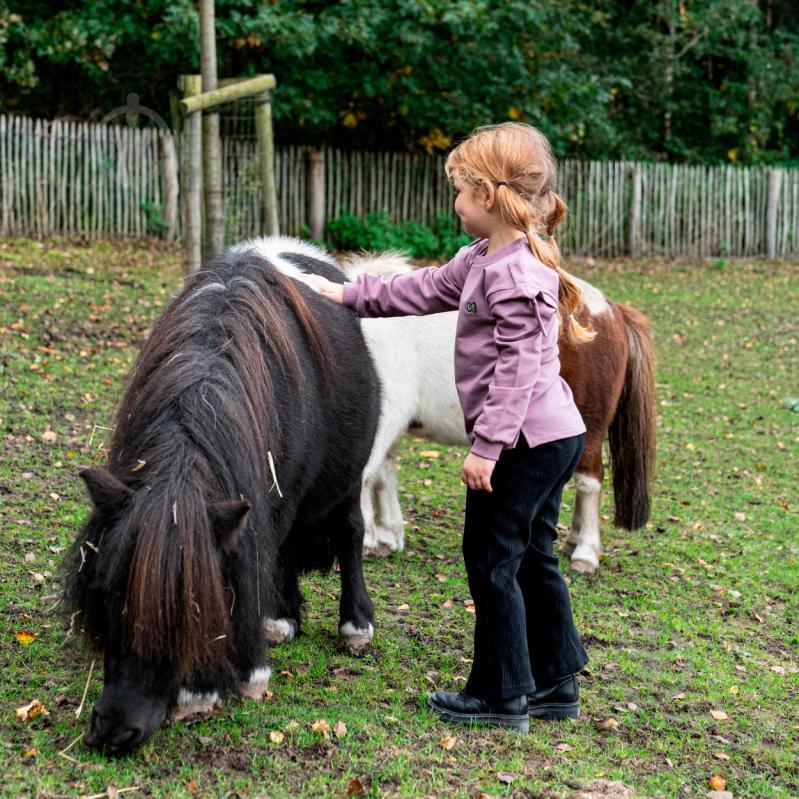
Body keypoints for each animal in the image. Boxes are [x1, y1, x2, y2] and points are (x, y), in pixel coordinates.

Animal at [64, 241, 380, 752]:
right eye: (109, 596)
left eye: (191, 609)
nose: (115, 730)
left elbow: (255, 561)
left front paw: (213, 685)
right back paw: (282, 622)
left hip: (348, 481)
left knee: (348, 535)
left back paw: (353, 626)